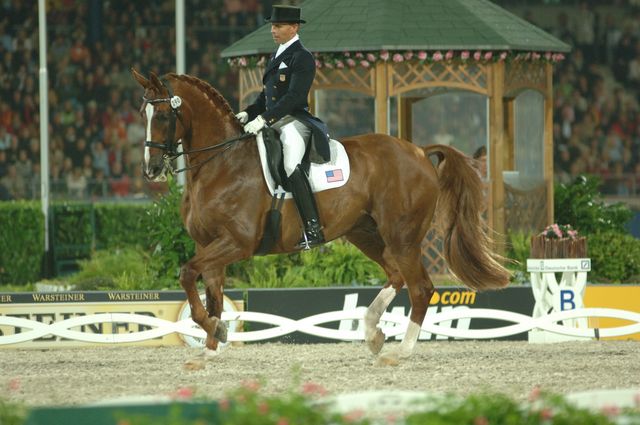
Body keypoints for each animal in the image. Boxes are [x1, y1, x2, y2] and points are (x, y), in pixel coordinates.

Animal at [131, 69, 510, 365]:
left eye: (162, 116)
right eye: (141, 114)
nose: (151, 170)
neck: (221, 163)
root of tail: (418, 150)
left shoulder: (236, 243)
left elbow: (187, 274)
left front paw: (217, 333)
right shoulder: (209, 244)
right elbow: (211, 296)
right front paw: (210, 347)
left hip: (402, 236)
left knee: (421, 288)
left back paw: (399, 352)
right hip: (365, 233)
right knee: (396, 275)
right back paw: (372, 333)